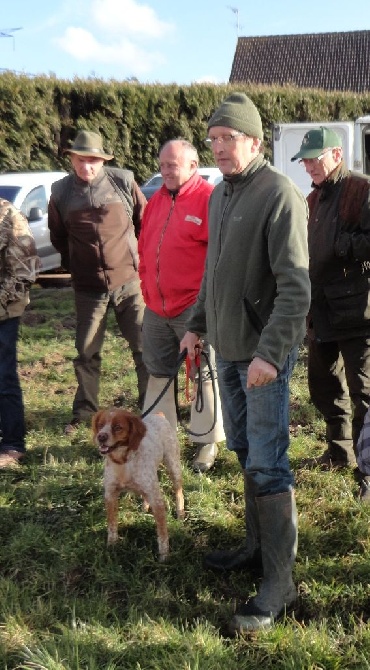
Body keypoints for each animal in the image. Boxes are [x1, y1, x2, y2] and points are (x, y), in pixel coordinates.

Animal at [92, 410, 185, 560]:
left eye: (118, 427)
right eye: (100, 425)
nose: (101, 437)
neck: (124, 462)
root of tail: (158, 415)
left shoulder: (157, 500)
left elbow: (162, 533)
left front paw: (164, 556)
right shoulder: (110, 495)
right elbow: (112, 525)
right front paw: (111, 546)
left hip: (173, 467)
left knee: (179, 492)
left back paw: (180, 513)